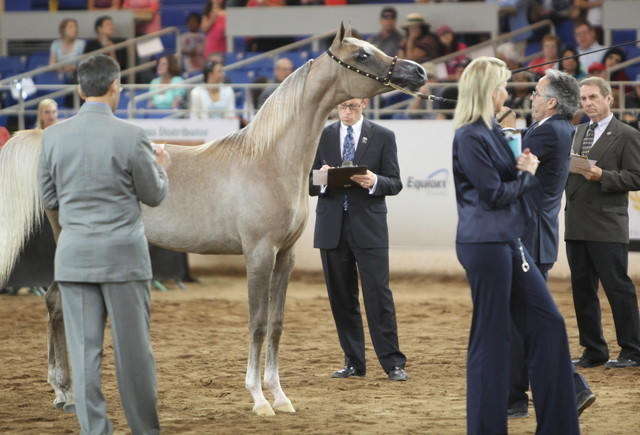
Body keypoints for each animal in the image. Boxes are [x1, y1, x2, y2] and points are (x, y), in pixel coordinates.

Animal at [0, 24, 426, 416]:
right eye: (363, 55)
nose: (418, 71)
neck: (268, 159)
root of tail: (50, 139)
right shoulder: (259, 255)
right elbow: (257, 323)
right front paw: (258, 398)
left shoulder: (284, 257)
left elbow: (276, 324)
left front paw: (280, 396)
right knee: (59, 304)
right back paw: (67, 392)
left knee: (54, 302)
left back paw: (62, 391)